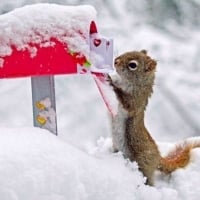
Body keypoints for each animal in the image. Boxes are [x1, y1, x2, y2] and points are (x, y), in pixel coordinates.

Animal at [108, 49, 200, 186]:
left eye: (133, 65)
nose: (115, 61)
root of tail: (157, 158)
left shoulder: (136, 101)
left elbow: (126, 102)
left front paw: (111, 82)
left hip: (143, 162)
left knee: (148, 179)